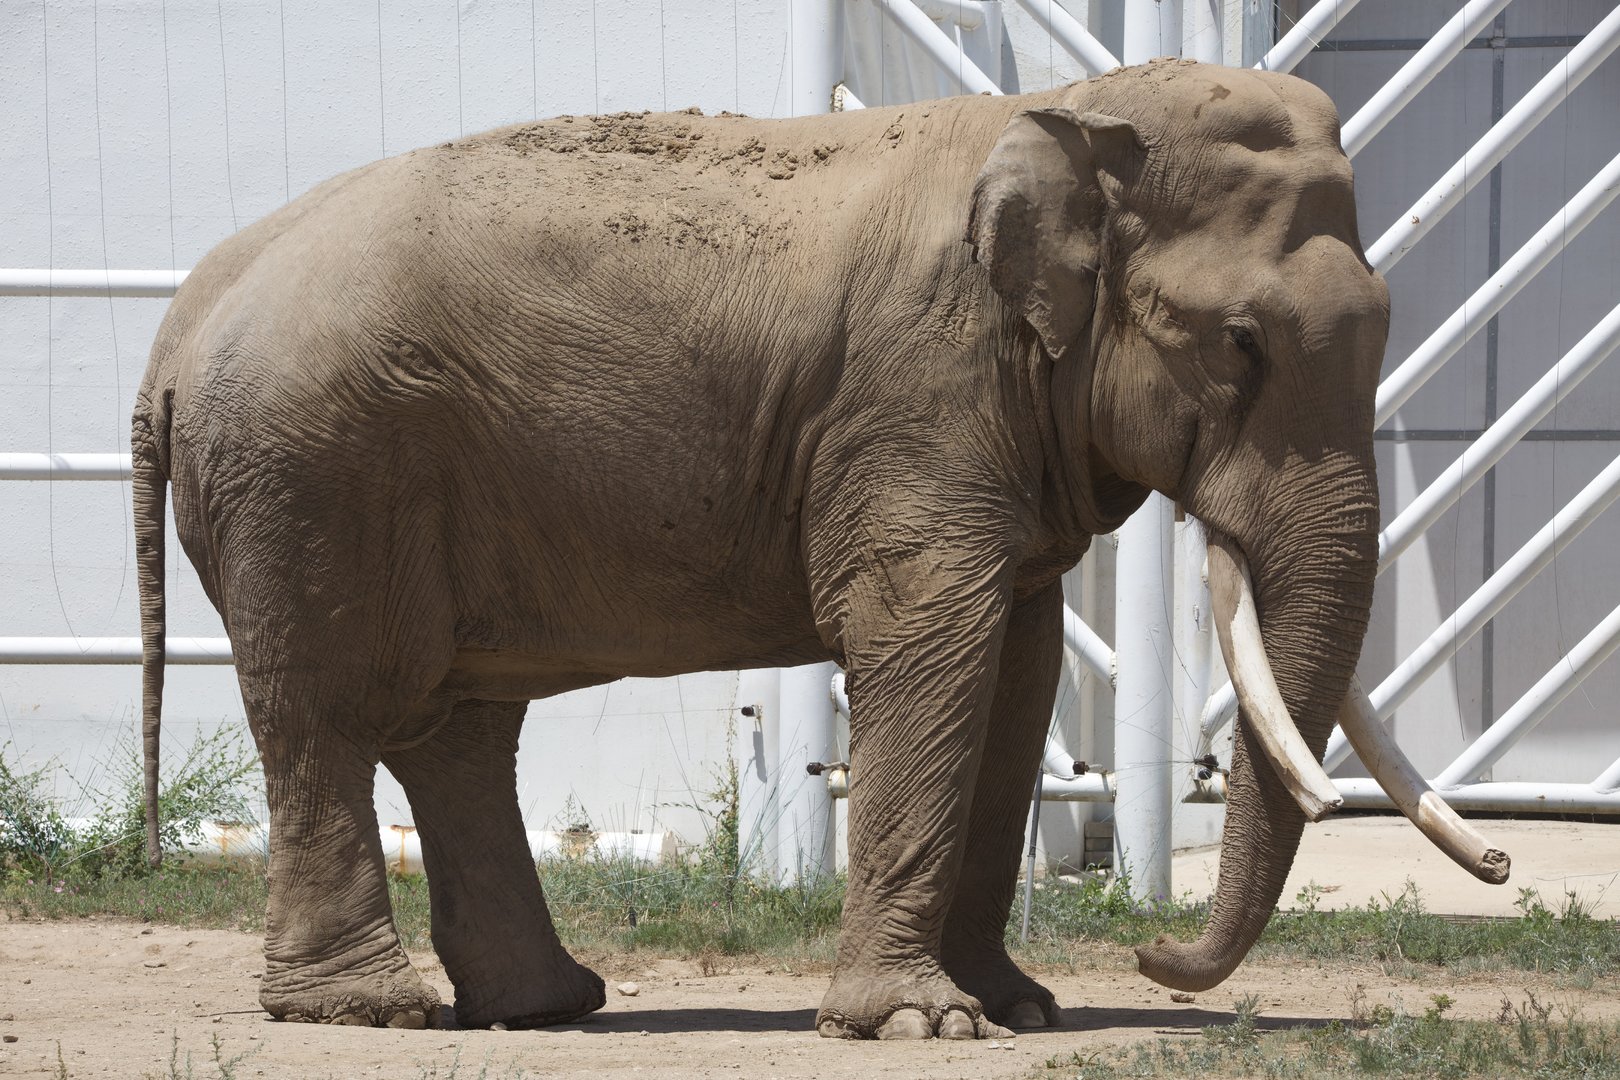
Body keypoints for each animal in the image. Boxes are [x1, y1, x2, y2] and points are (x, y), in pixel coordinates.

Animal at [131, 57, 1413, 1039]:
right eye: (1240, 342)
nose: (1156, 961)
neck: (1064, 108)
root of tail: (183, 320)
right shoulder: (915, 400)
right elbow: (931, 645)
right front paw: (921, 1024)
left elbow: (1017, 673)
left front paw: (1018, 1009)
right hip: (310, 481)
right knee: (332, 716)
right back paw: (365, 1011)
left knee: (459, 733)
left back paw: (544, 1006)